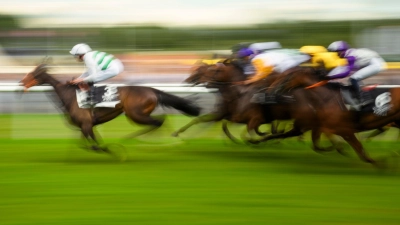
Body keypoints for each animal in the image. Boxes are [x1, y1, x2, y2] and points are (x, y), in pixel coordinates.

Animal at [20, 62, 202, 152]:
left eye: (33, 74)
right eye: (28, 73)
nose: (21, 83)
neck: (69, 95)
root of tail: (152, 90)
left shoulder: (86, 124)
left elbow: (94, 144)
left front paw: (110, 149)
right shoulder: (86, 125)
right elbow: (86, 143)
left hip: (135, 114)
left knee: (158, 121)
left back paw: (137, 140)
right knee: (160, 121)